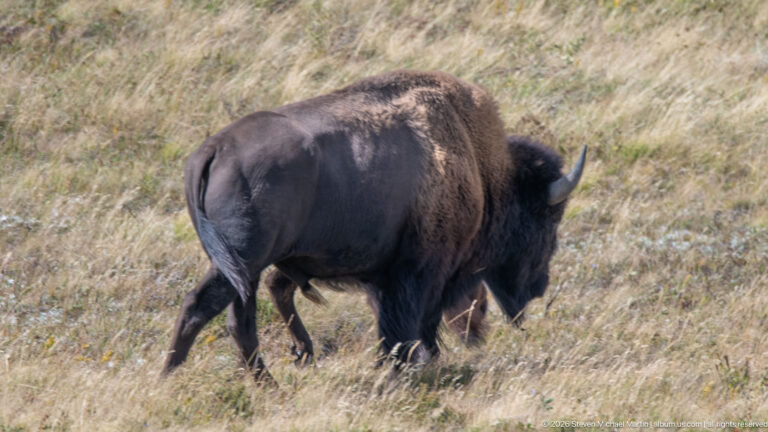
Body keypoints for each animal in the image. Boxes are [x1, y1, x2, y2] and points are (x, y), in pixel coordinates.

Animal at [163, 70, 586, 379]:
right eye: (545, 222)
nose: (539, 287)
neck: (482, 170)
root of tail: (215, 148)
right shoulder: (420, 272)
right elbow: (411, 324)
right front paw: (407, 367)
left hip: (243, 270)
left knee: (241, 317)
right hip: (243, 261)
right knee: (204, 309)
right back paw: (178, 378)